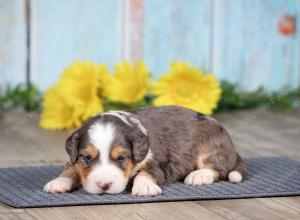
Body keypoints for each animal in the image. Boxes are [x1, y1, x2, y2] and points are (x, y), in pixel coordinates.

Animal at [44, 106, 246, 196]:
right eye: (86, 157)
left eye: (121, 158)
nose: (104, 186)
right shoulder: (74, 159)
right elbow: (71, 168)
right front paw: (59, 181)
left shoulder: (158, 164)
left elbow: (146, 172)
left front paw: (144, 187)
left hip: (210, 147)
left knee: (218, 169)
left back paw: (198, 175)